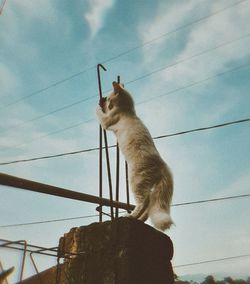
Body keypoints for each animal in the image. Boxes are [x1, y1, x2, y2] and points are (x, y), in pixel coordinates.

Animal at [96, 81, 174, 231]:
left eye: (107, 98)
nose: (102, 99)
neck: (128, 110)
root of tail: (162, 165)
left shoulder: (107, 121)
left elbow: (100, 115)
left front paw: (97, 106)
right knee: (148, 206)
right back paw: (139, 220)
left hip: (136, 181)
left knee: (144, 203)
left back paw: (131, 216)